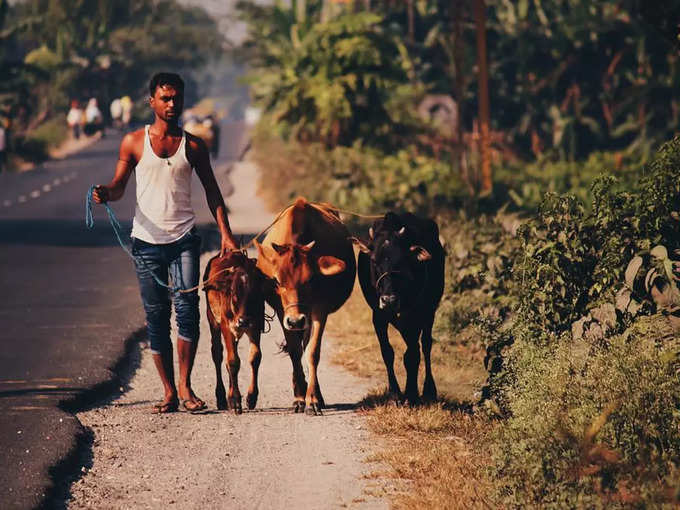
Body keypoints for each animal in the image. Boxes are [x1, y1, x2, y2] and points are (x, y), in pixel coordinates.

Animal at [202, 251, 266, 414]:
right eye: (233, 292)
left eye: (254, 292)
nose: (243, 321)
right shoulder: (226, 327)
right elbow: (233, 361)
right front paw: (235, 400)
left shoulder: (255, 326)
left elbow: (255, 358)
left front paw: (251, 397)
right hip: (213, 320)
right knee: (218, 355)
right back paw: (222, 398)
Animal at [254, 196, 356, 414]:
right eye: (277, 281)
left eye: (310, 279)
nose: (295, 321)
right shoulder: (282, 311)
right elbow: (295, 352)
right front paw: (300, 397)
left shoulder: (320, 309)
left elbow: (312, 351)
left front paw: (313, 400)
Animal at [350, 212, 446, 406]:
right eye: (374, 261)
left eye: (402, 261)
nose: (388, 300)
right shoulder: (378, 316)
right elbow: (388, 352)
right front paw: (394, 393)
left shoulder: (416, 315)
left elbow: (412, 355)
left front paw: (411, 393)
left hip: (430, 312)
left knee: (426, 345)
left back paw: (429, 390)